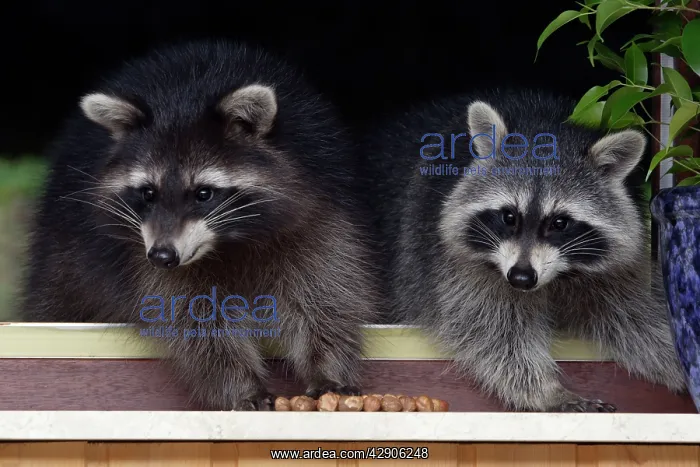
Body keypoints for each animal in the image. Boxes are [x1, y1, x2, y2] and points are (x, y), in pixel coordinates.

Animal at [21, 40, 378, 410]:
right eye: (148, 193)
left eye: (203, 193)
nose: (162, 256)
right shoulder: (142, 259)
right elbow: (193, 321)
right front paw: (239, 384)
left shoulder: (318, 211)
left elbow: (325, 293)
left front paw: (328, 367)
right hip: (64, 256)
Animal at [358, 89, 686, 412]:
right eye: (509, 217)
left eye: (559, 223)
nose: (521, 278)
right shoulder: (451, 263)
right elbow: (492, 332)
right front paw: (548, 393)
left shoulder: (614, 266)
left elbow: (636, 315)